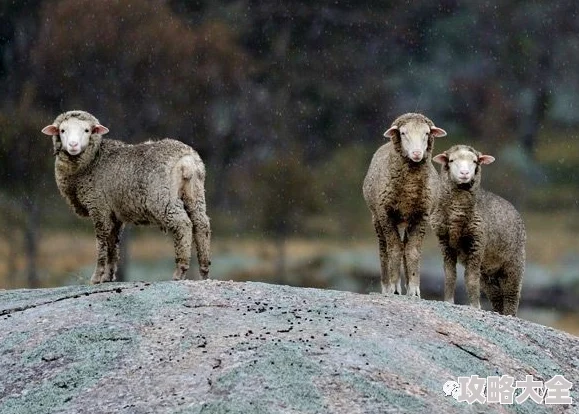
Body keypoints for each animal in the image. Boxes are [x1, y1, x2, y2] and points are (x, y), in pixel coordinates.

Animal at [41, 111, 213, 284]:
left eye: (87, 130)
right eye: (62, 130)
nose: (73, 145)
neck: (92, 161)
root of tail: (186, 161)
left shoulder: (99, 206)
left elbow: (101, 241)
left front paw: (97, 277)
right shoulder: (113, 214)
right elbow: (112, 243)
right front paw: (108, 276)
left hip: (163, 198)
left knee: (183, 224)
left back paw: (180, 271)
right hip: (195, 194)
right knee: (201, 224)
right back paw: (204, 270)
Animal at [362, 111, 448, 296]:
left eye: (427, 133)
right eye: (403, 133)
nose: (416, 153)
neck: (409, 188)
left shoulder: (421, 216)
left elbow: (412, 251)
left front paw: (414, 289)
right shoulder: (386, 214)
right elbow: (394, 249)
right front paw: (394, 288)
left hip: (407, 220)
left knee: (405, 246)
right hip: (376, 217)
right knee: (384, 250)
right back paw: (387, 286)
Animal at [432, 144, 528, 316]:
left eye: (475, 161)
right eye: (451, 160)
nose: (465, 173)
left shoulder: (477, 242)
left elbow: (470, 277)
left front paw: (475, 306)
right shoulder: (445, 242)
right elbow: (450, 274)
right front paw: (448, 301)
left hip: (515, 262)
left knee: (511, 294)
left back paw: (509, 314)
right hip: (488, 271)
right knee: (496, 295)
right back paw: (498, 312)